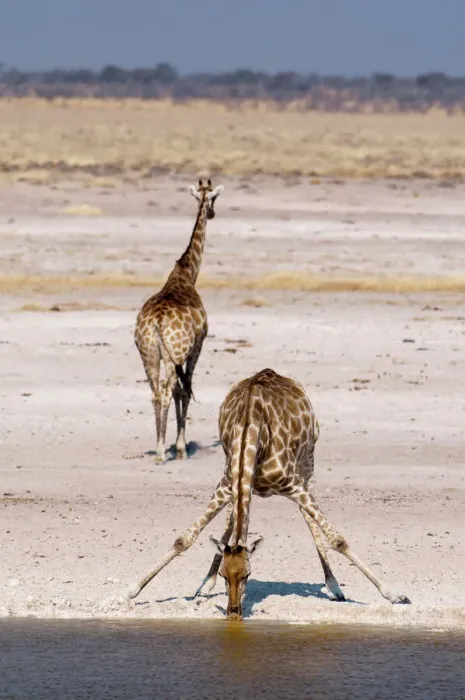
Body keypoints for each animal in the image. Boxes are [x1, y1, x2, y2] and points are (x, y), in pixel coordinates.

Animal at [127, 368, 411, 619]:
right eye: (224, 575)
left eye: (248, 575)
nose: (233, 612)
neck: (251, 434)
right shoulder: (227, 484)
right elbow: (185, 539)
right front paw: (132, 590)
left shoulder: (293, 483)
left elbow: (338, 540)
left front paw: (395, 595)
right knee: (232, 518)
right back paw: (204, 584)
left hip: (307, 463)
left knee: (308, 517)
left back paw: (334, 587)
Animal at [134, 178, 223, 463]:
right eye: (214, 198)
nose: (212, 213)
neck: (186, 275)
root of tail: (156, 323)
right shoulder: (196, 347)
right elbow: (185, 390)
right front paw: (181, 446)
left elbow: (179, 391)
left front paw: (177, 444)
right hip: (171, 353)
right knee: (166, 390)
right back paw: (162, 450)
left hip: (149, 354)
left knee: (155, 392)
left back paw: (159, 447)